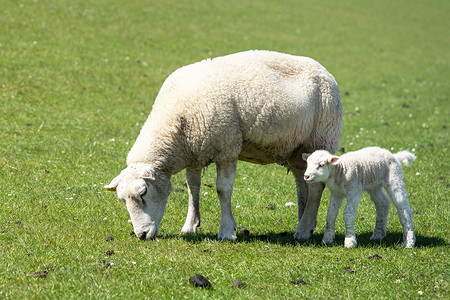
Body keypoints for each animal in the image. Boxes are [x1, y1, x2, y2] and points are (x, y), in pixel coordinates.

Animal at [105, 49, 342, 241]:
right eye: (122, 199)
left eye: (144, 193)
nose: (142, 235)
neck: (177, 122)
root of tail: (325, 71)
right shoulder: (194, 152)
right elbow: (193, 188)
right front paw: (190, 225)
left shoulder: (227, 149)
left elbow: (222, 190)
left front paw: (227, 231)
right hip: (296, 149)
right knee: (303, 182)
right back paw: (305, 223)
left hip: (321, 136)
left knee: (316, 186)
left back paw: (303, 231)